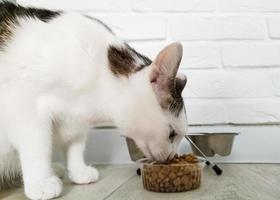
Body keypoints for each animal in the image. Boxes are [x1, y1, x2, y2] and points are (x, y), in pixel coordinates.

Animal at [0, 1, 188, 200]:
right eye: (172, 134)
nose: (171, 157)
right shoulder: (25, 106)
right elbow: (38, 147)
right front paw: (41, 182)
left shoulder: (77, 120)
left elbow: (75, 145)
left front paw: (78, 171)